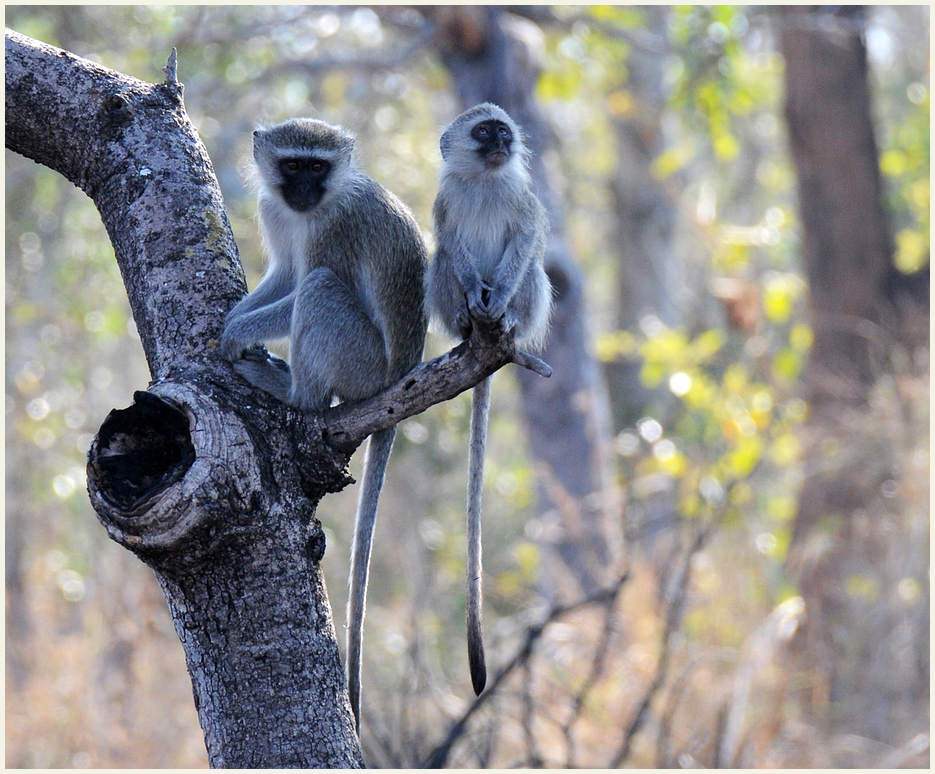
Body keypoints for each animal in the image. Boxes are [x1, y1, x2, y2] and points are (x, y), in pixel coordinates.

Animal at [219, 118, 428, 736]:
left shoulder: (335, 228)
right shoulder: (273, 208)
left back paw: (294, 393)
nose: (305, 190)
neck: (314, 207)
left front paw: (233, 332)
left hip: (361, 364)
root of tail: (398, 376)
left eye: (318, 166)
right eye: (293, 165)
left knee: (317, 289)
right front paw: (233, 318)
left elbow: (303, 281)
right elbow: (283, 274)